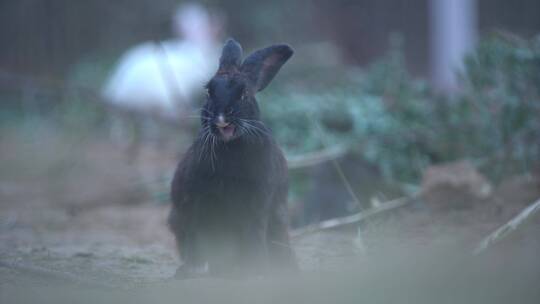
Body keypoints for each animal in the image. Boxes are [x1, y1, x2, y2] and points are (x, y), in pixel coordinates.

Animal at [168, 38, 296, 278]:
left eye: (244, 94)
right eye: (208, 91)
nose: (221, 117)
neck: (231, 147)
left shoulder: (257, 204)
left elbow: (254, 235)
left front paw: (256, 269)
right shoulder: (196, 203)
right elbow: (198, 238)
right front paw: (195, 269)